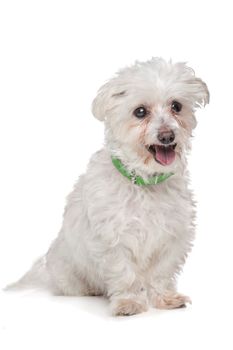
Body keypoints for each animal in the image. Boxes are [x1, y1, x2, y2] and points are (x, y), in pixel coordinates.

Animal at [6, 57, 209, 314]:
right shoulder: (113, 240)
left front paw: (165, 298)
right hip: (68, 274)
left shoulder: (172, 238)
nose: (167, 135)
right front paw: (129, 302)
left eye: (176, 106)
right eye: (140, 112)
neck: (144, 183)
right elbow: (125, 274)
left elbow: (161, 274)